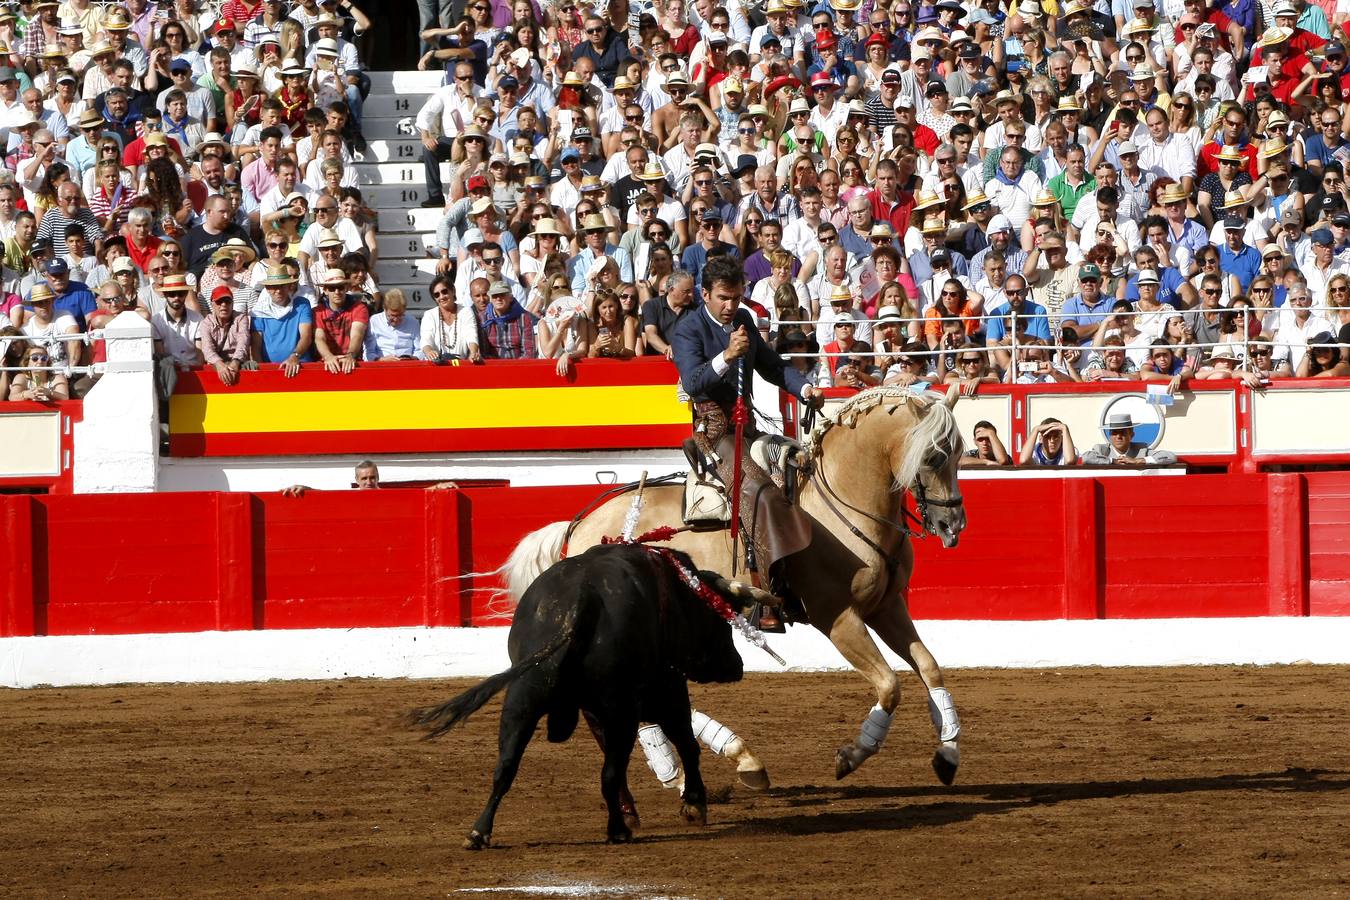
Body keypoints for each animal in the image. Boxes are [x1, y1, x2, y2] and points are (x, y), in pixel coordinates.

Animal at [410, 542, 750, 852]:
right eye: (723, 618)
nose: (737, 665)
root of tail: (580, 600)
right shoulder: (668, 689)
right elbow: (686, 743)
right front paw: (694, 804)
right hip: (621, 708)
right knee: (612, 772)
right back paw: (618, 831)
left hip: (522, 699)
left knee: (505, 766)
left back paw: (479, 833)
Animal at [502, 388, 966, 788]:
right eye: (934, 454)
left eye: (961, 452)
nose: (953, 525)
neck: (838, 502)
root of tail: (579, 527)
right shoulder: (837, 619)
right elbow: (889, 685)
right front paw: (851, 755)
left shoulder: (886, 607)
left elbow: (930, 667)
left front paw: (948, 754)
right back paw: (689, 768)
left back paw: (728, 761)